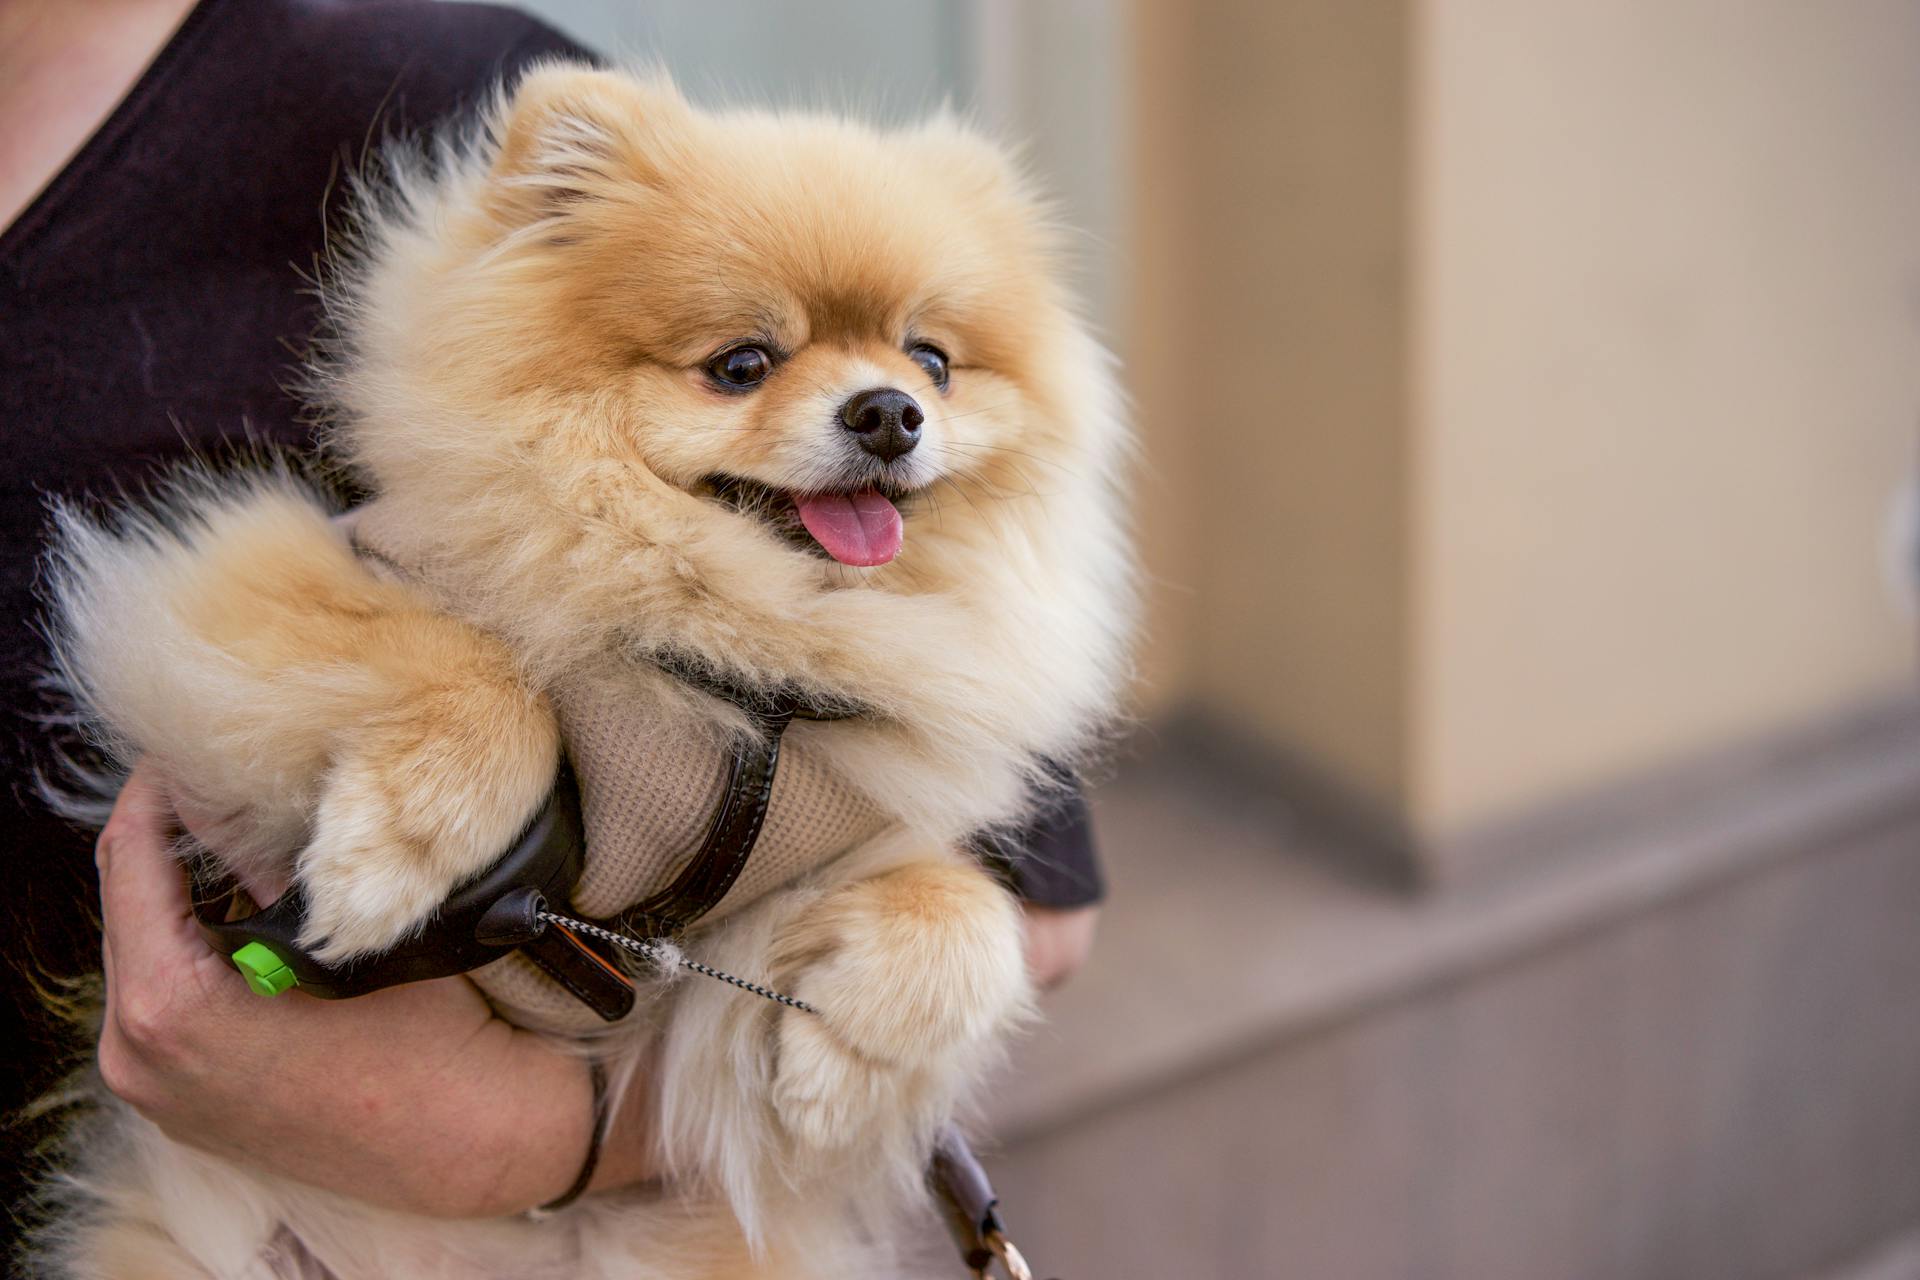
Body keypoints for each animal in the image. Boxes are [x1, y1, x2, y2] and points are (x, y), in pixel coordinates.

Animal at [30, 62, 1128, 1280]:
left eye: (931, 359)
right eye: (741, 364)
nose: (891, 411)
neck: (742, 659)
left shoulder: (721, 935)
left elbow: (964, 909)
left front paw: (843, 1063)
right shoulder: (233, 585)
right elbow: (472, 668)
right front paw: (394, 850)